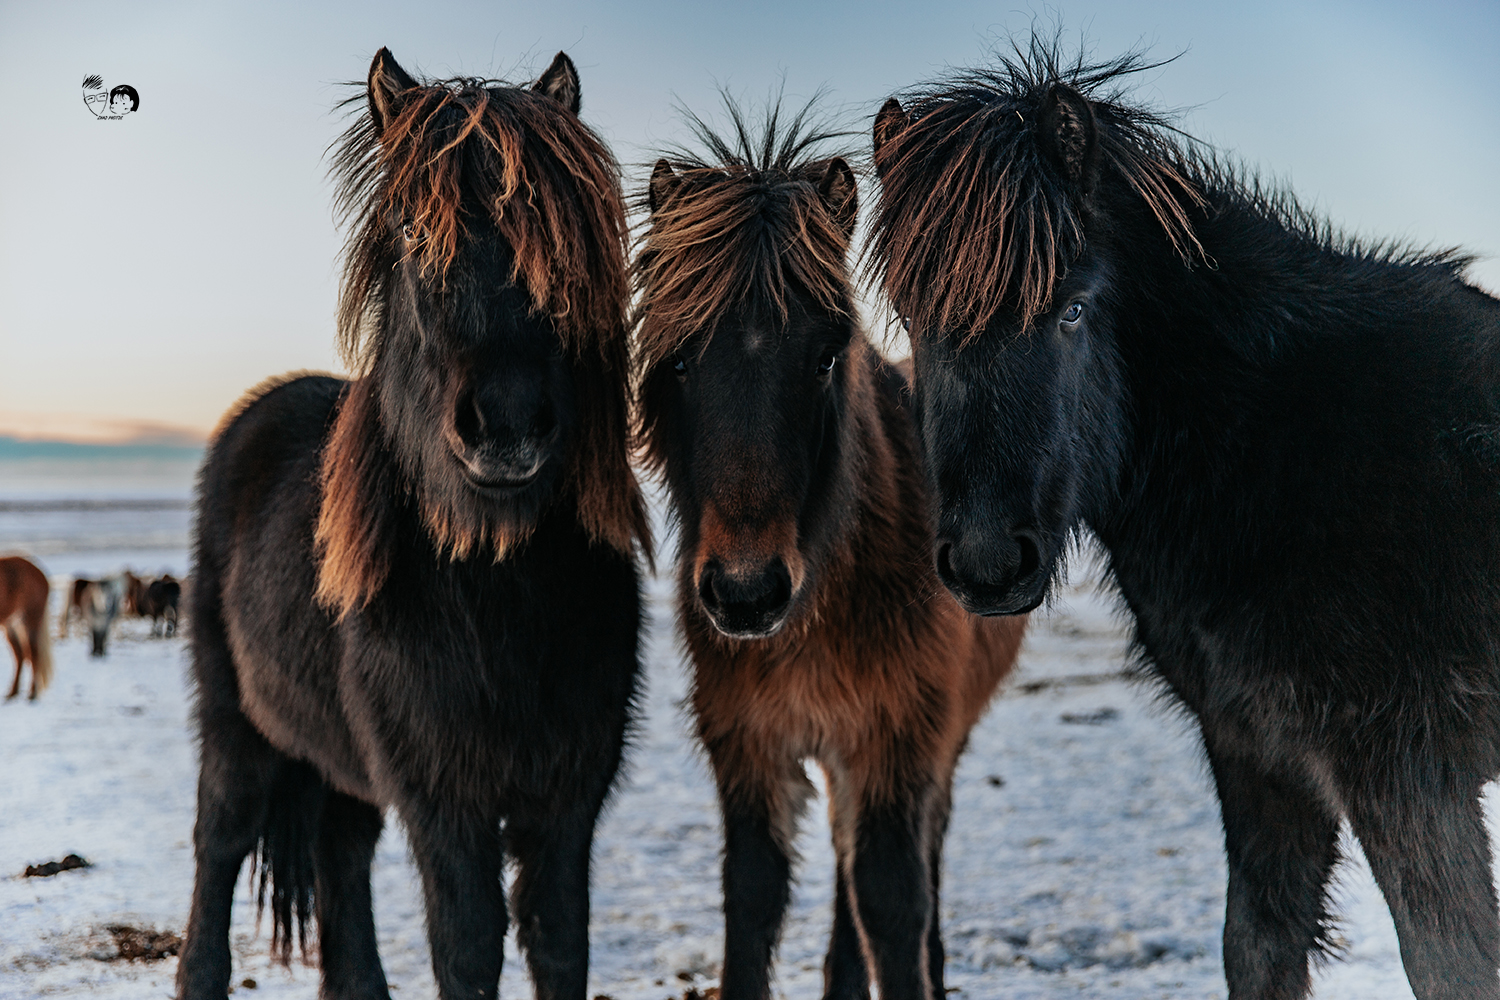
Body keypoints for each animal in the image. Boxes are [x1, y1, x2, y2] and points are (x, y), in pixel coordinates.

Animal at [0, 554, 51, 704]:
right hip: (12, 625)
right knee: (20, 655)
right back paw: (13, 693)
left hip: (30, 621)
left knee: (34, 653)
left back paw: (32, 694)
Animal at [178, 48, 648, 1000]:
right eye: (409, 230)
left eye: (560, 241)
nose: (506, 422)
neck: (499, 594)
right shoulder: (445, 804)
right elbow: (466, 948)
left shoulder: (565, 803)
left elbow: (558, 941)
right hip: (235, 722)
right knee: (221, 838)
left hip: (343, 766)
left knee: (340, 857)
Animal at [633, 101, 1032, 1000]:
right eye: (678, 359)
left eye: (824, 354)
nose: (747, 595)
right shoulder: (752, 742)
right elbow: (753, 898)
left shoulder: (894, 738)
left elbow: (890, 897)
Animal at [870, 39, 1500, 1000]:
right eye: (912, 317)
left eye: (1074, 308)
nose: (985, 562)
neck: (1278, 450)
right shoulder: (1261, 758)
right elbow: (1259, 947)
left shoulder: (1408, 773)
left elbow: (1454, 962)